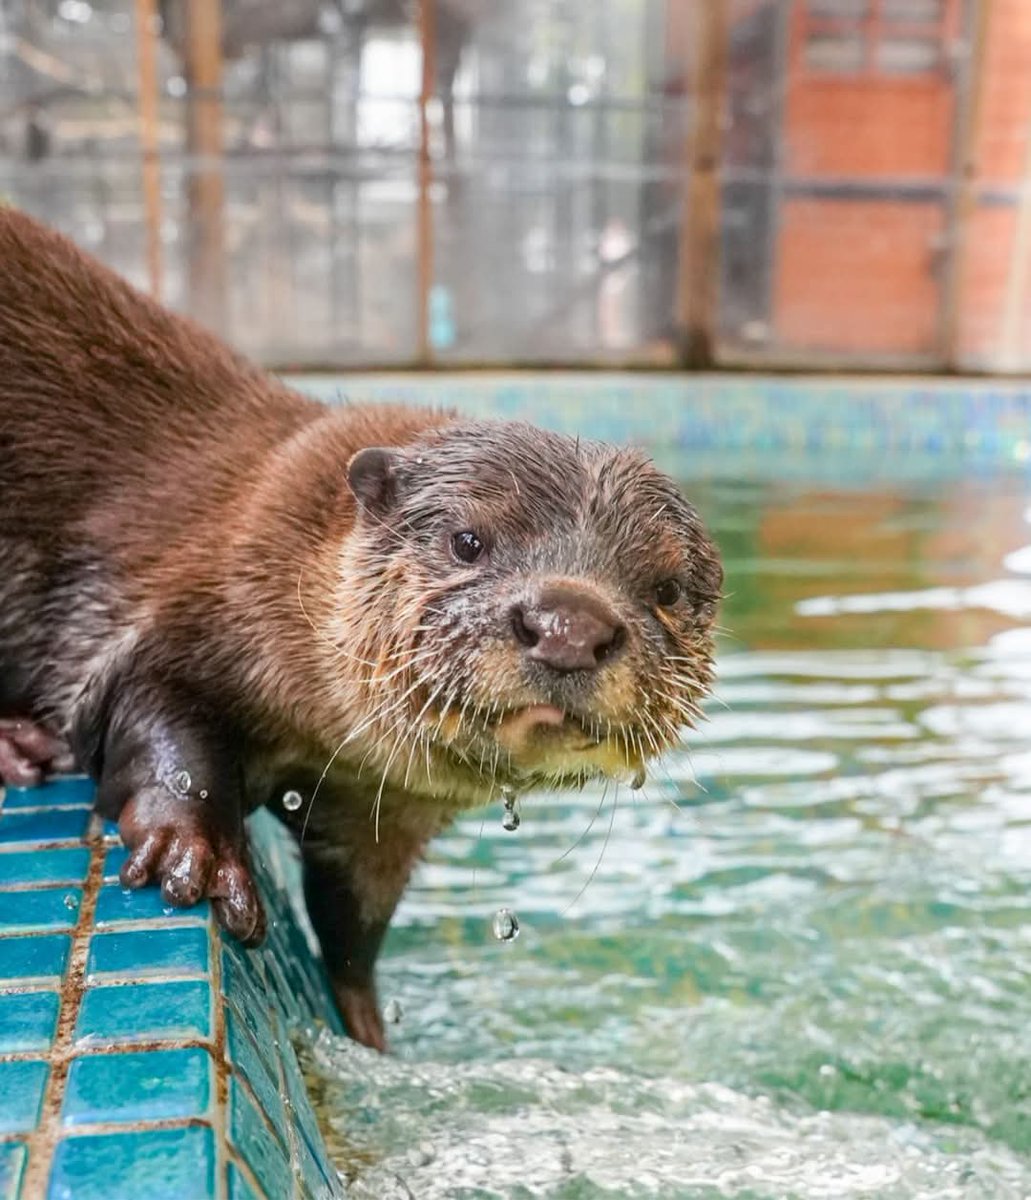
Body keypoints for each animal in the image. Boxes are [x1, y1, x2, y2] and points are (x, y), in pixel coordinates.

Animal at [0, 209, 722, 1050]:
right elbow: (158, 717)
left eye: (665, 590)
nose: (569, 625)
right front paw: (198, 855)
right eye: (468, 542)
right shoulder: (177, 608)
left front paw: (365, 1023)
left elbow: (355, 913)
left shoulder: (380, 804)